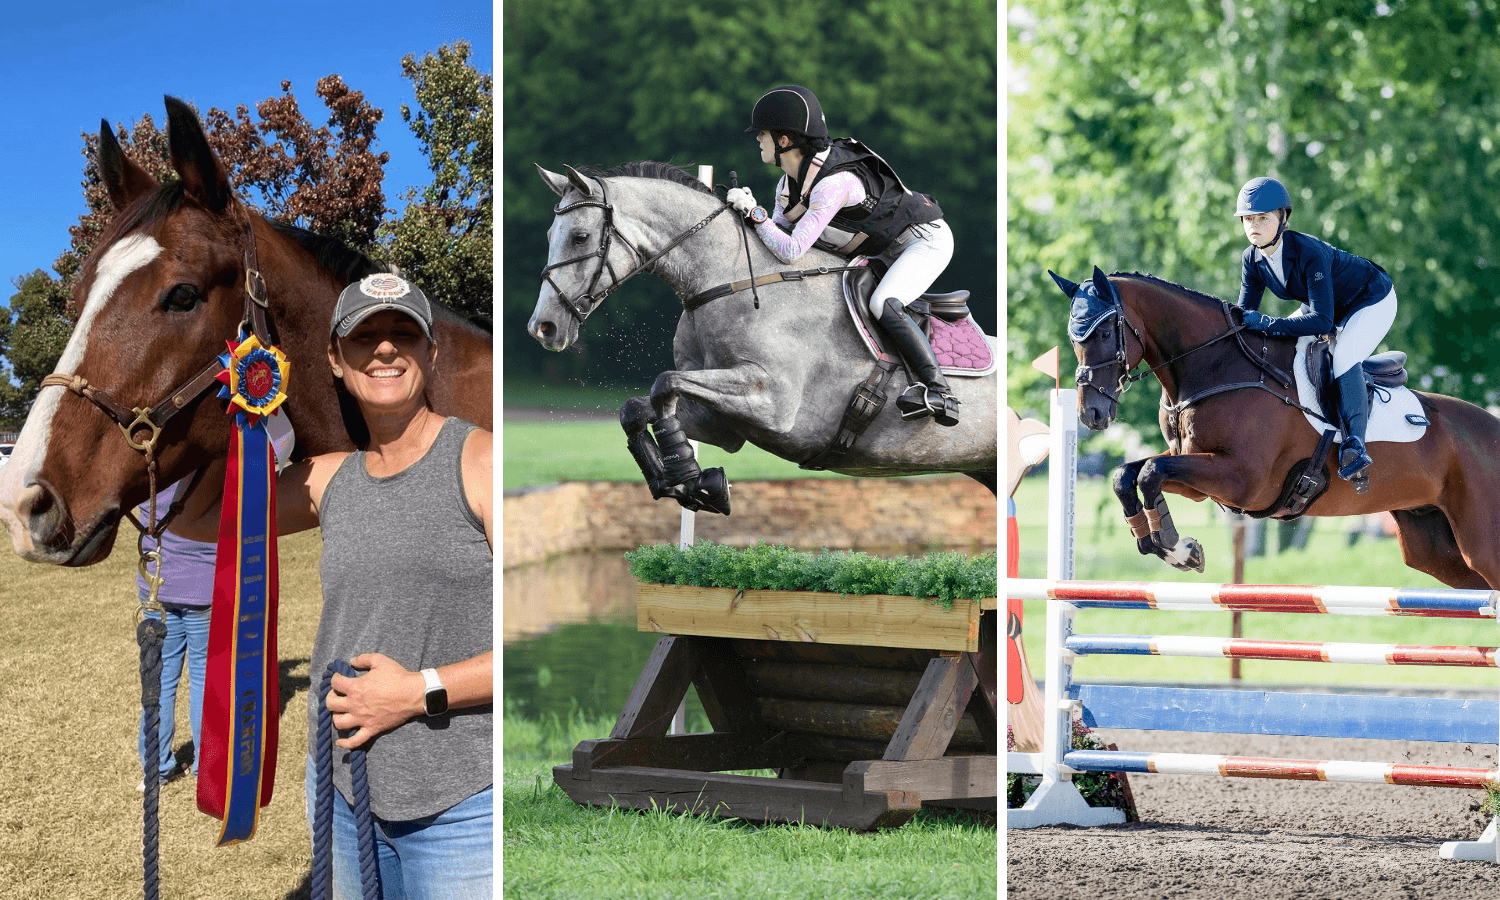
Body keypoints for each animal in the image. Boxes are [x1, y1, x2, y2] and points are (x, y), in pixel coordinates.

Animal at [526, 162, 997, 512]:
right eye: (549, 236)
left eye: (580, 236)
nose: (543, 327)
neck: (728, 280)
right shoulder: (724, 420)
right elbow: (638, 409)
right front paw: (684, 482)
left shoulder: (773, 403)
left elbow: (664, 385)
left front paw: (693, 480)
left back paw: (934, 397)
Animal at [1049, 266, 1500, 590]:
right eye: (1073, 339)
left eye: (1103, 333)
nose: (1091, 414)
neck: (1215, 364)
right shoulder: (1198, 476)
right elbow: (1128, 474)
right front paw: (1174, 548)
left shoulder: (1242, 478)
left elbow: (1148, 472)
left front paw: (1180, 547)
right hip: (1435, 548)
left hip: (1481, 544)